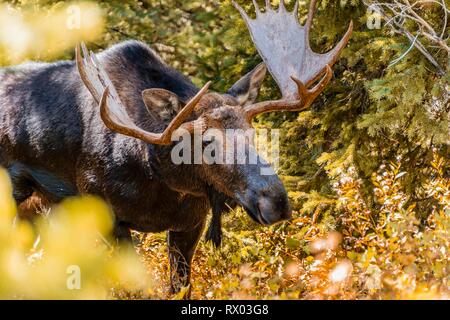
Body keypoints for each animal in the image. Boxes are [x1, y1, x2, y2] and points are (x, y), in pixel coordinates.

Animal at [0, 0, 352, 296]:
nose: (276, 201)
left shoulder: (191, 222)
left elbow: (180, 287)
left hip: (39, 207)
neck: (160, 180)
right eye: (206, 143)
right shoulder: (108, 215)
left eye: (252, 133)